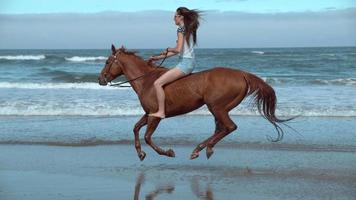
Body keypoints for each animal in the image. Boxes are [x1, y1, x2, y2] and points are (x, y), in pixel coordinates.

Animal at [98, 44, 292, 161]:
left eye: (107, 61)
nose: (101, 80)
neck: (147, 81)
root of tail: (242, 74)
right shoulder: (149, 114)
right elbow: (136, 128)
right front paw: (140, 153)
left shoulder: (156, 116)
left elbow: (147, 136)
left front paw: (167, 152)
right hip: (221, 108)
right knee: (221, 128)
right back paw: (204, 149)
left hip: (216, 107)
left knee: (229, 127)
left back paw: (201, 149)